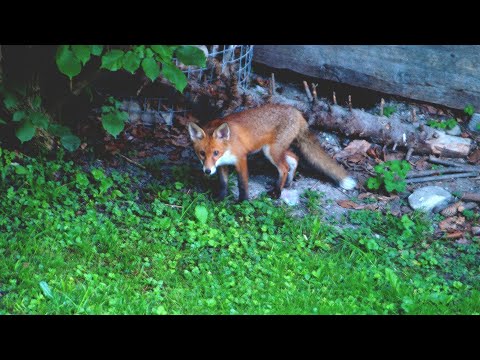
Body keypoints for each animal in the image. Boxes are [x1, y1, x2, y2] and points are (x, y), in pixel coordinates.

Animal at [188, 104, 356, 201]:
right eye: (202, 153)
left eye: (216, 152)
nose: (207, 171)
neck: (228, 145)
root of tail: (297, 112)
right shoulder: (222, 165)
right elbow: (223, 184)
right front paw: (219, 199)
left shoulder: (241, 159)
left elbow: (243, 184)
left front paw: (243, 201)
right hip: (275, 150)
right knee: (294, 158)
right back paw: (286, 184)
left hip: (271, 152)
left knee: (284, 168)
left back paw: (277, 192)